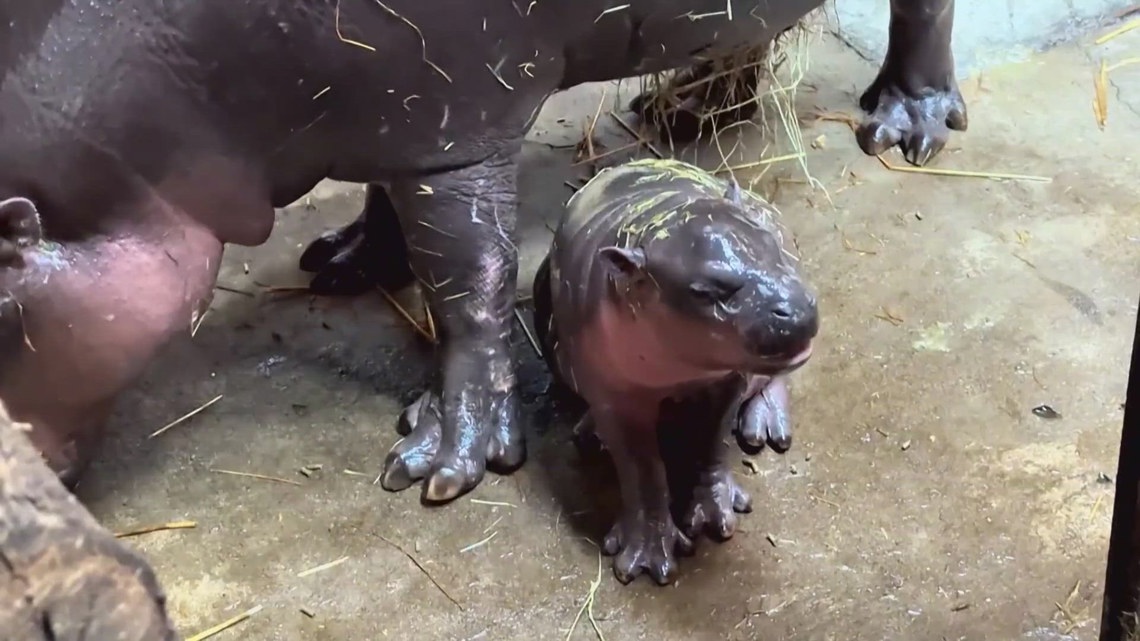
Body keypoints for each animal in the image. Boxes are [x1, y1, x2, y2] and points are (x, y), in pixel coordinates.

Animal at [0, 0, 964, 504]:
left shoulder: (455, 129)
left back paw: (904, 126)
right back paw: (684, 112)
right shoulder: (399, 117)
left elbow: (471, 281)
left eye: (6, 300)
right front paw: (344, 259)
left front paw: (443, 461)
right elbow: (397, 209)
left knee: (926, 13)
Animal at [531, 158, 818, 584]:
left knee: (775, 379)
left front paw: (717, 517)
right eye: (704, 291)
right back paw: (589, 434)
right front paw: (647, 561)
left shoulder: (726, 380)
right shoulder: (617, 399)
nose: (796, 309)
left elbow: (712, 441)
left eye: (770, 246)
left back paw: (765, 429)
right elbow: (642, 468)